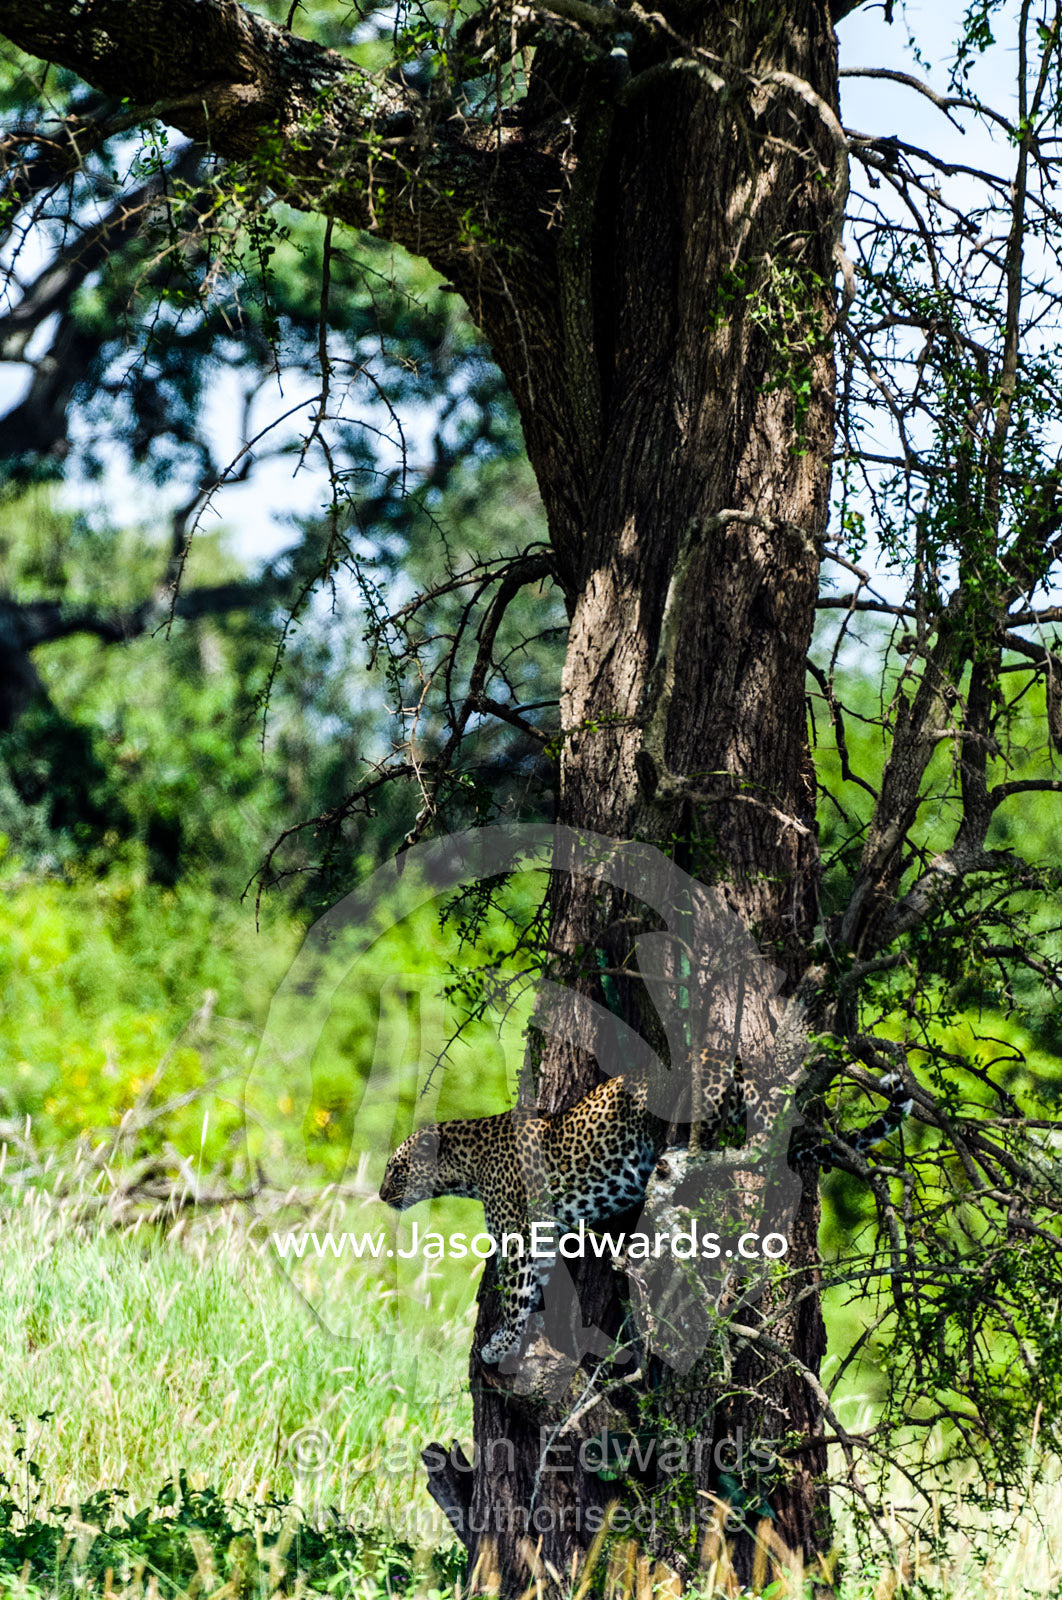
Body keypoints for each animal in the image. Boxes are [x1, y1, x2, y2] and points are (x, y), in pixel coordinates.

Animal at [379, 1053, 912, 1367]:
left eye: (395, 1168)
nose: (381, 1195)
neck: (468, 1164)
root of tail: (726, 1057)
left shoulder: (517, 1236)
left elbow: (514, 1294)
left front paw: (499, 1345)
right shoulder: (542, 1236)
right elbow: (531, 1290)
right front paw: (517, 1338)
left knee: (731, 1145)